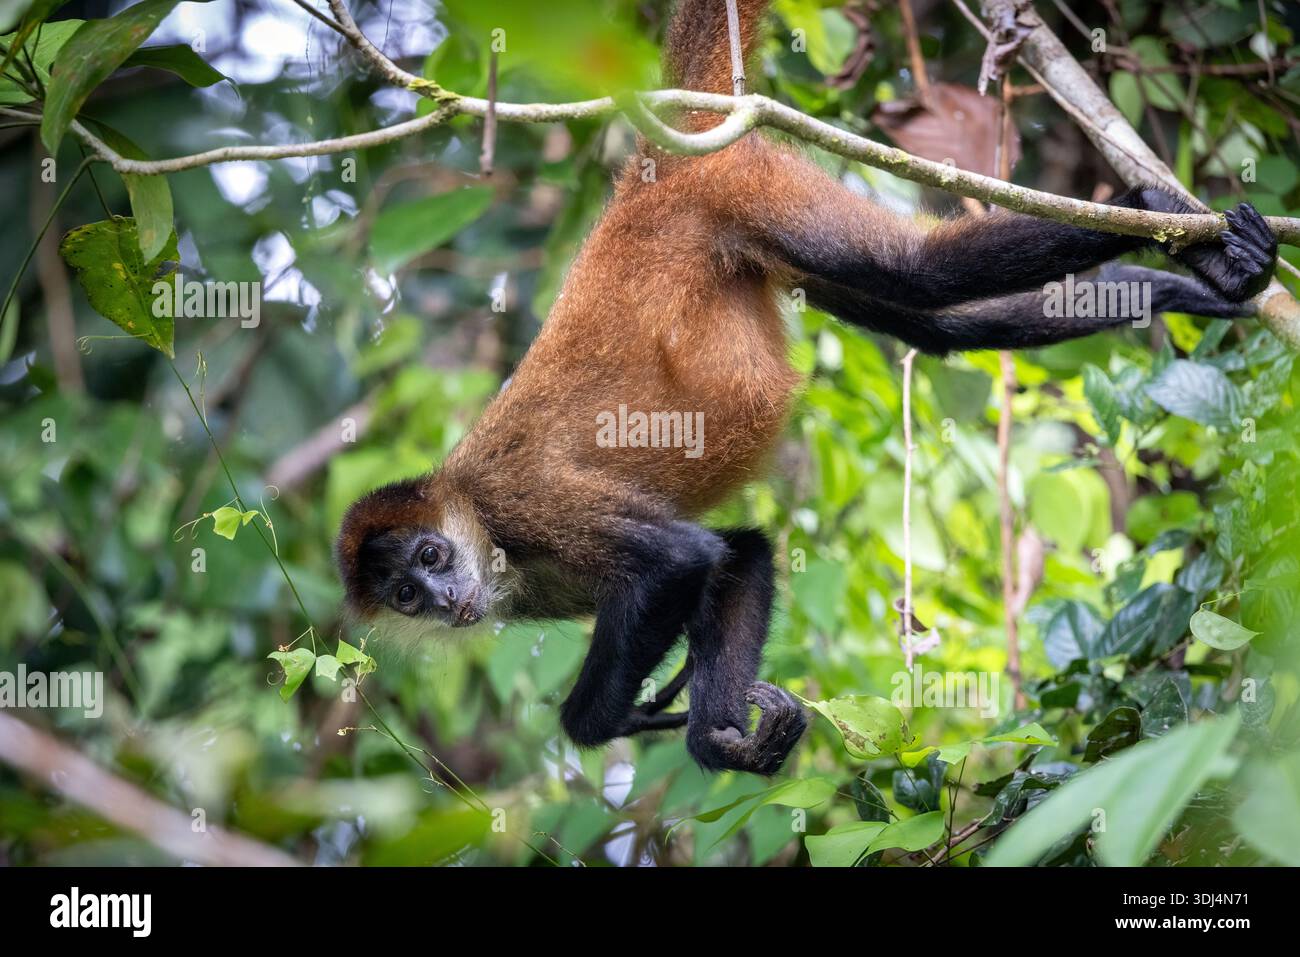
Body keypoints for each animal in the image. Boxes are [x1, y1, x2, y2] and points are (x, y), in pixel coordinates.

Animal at [335, 0, 1277, 775]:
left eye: (430, 556)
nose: (445, 598)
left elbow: (682, 559)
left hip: (741, 187)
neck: (477, 520)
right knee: (933, 323)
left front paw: (607, 719)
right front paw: (718, 735)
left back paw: (1147, 202)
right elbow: (740, 551)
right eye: (406, 594)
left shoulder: (524, 500)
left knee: (914, 270)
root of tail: (649, 175)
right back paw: (1189, 283)